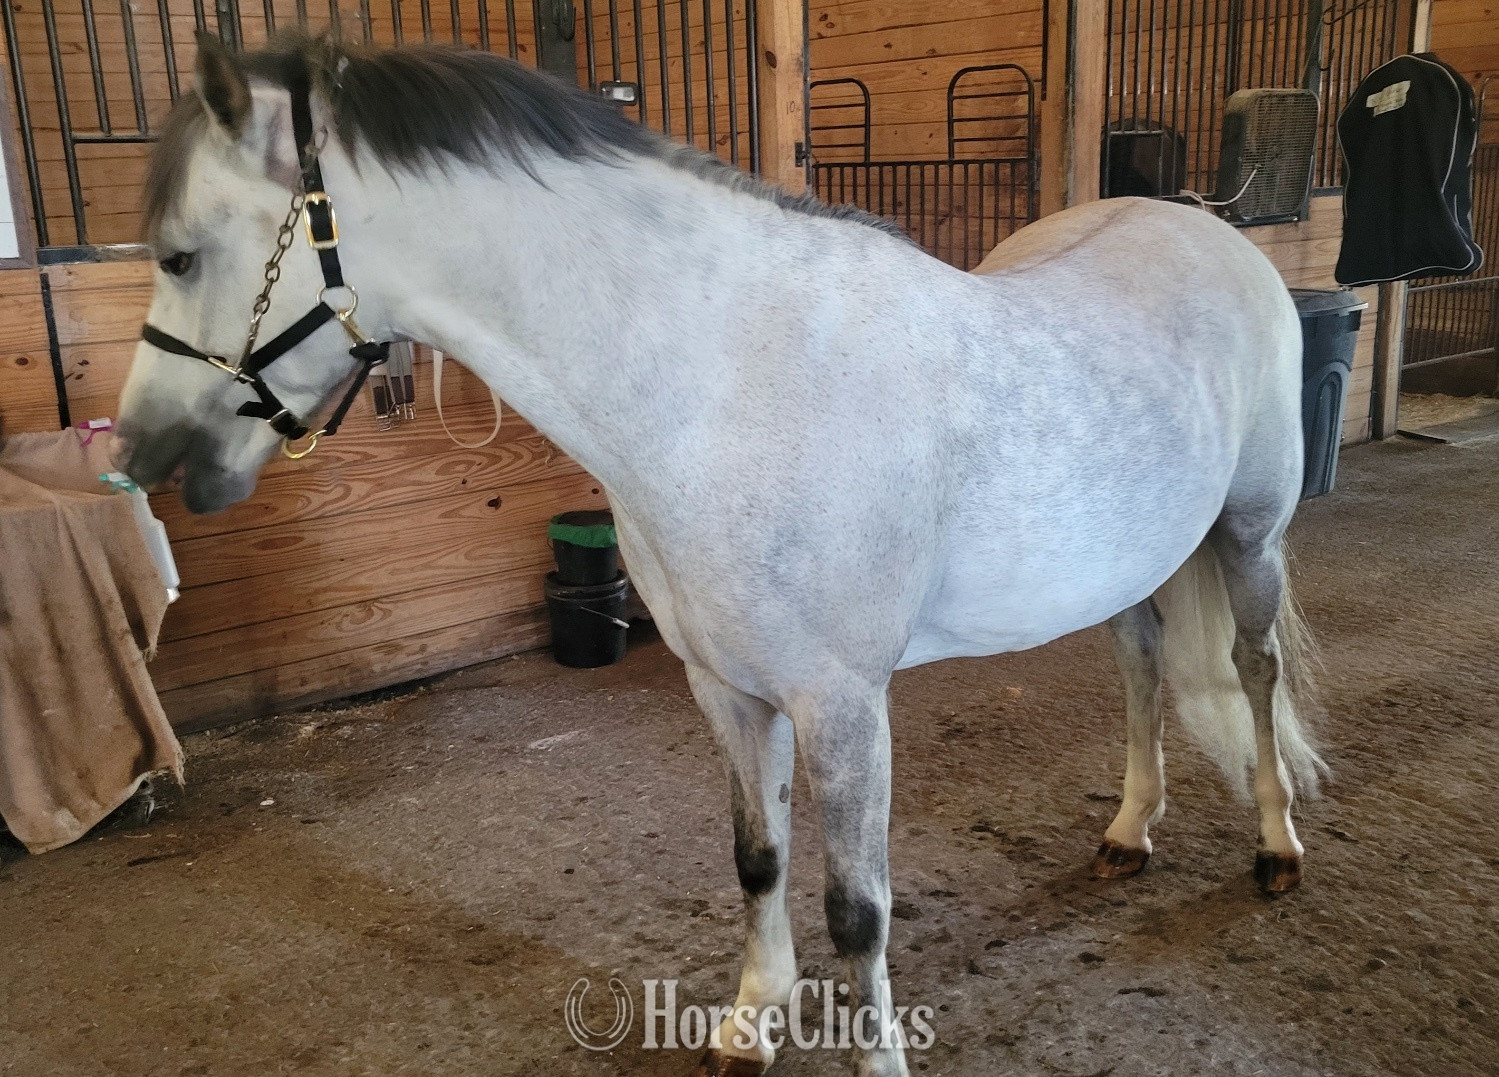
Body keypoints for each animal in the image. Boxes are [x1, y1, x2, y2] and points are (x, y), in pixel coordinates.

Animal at [114, 32, 1327, 1077]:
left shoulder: (844, 705)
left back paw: (1276, 847)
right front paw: (750, 1025)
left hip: (1250, 537)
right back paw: (1127, 830)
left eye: (180, 254)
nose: (139, 450)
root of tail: (1209, 231)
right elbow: (758, 861)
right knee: (1142, 666)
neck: (729, 385)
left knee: (1253, 672)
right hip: (1127, 565)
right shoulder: (725, 688)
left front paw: (872, 1057)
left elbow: (857, 910)